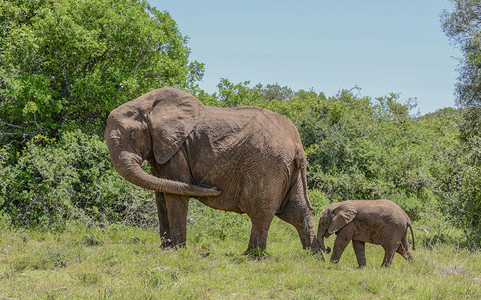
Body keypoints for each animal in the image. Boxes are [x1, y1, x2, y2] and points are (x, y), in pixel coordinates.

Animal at [107, 86, 320, 253]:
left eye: (132, 134)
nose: (216, 188)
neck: (146, 104)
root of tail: (298, 146)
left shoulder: (177, 150)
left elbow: (175, 193)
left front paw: (176, 250)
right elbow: (161, 192)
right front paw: (165, 249)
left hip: (267, 166)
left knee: (262, 211)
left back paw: (251, 256)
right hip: (290, 169)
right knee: (297, 210)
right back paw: (314, 256)